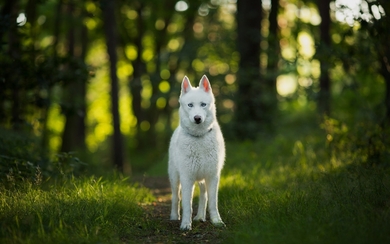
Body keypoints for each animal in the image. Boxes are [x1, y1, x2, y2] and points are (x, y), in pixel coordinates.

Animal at [168, 75, 225, 231]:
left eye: (203, 104)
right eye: (190, 105)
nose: (197, 118)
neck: (199, 137)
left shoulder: (212, 176)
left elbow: (213, 203)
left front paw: (217, 221)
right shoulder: (187, 178)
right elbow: (187, 205)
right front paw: (186, 224)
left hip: (202, 179)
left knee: (204, 197)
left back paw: (200, 217)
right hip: (175, 178)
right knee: (176, 197)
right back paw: (174, 216)